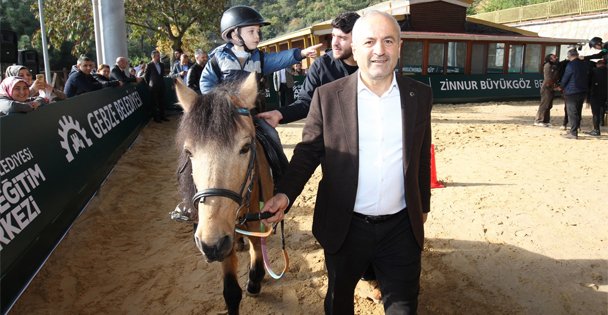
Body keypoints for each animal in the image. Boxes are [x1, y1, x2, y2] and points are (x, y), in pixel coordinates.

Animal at [173, 73, 274, 314]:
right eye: (189, 152)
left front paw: (255, 279)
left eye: (245, 148)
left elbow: (258, 247)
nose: (212, 245)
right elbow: (231, 292)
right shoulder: (220, 235)